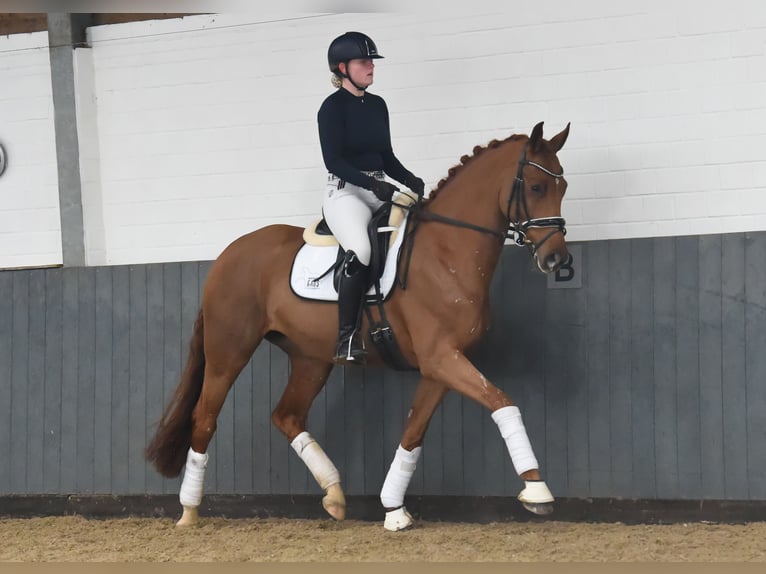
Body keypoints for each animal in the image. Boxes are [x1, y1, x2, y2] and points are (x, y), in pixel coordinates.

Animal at [147, 120, 572, 532]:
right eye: (536, 186)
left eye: (563, 186)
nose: (556, 259)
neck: (445, 252)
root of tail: (226, 255)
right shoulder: (441, 359)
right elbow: (502, 402)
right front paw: (537, 490)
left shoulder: (441, 365)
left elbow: (413, 433)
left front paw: (394, 509)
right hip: (229, 351)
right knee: (204, 418)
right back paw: (189, 511)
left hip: (311, 359)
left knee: (286, 416)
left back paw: (334, 495)